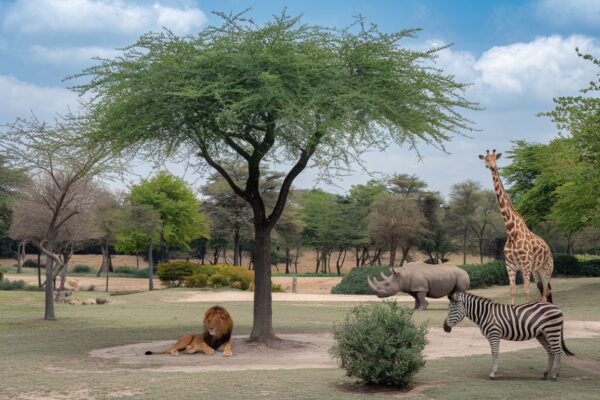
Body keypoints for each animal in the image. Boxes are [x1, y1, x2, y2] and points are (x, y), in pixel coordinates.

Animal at [442, 290, 576, 382]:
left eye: (453, 308)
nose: (445, 327)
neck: (485, 314)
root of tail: (557, 308)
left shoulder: (494, 334)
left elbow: (495, 353)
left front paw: (493, 373)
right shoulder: (492, 336)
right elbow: (494, 353)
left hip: (552, 331)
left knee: (557, 351)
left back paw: (554, 375)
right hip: (542, 334)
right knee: (551, 351)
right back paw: (546, 374)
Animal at [478, 149, 552, 304]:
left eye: (495, 159)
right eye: (486, 159)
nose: (492, 167)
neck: (512, 231)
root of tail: (548, 248)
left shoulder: (525, 264)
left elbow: (526, 291)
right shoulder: (510, 265)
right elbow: (512, 291)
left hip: (546, 268)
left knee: (545, 293)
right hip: (536, 270)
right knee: (543, 291)